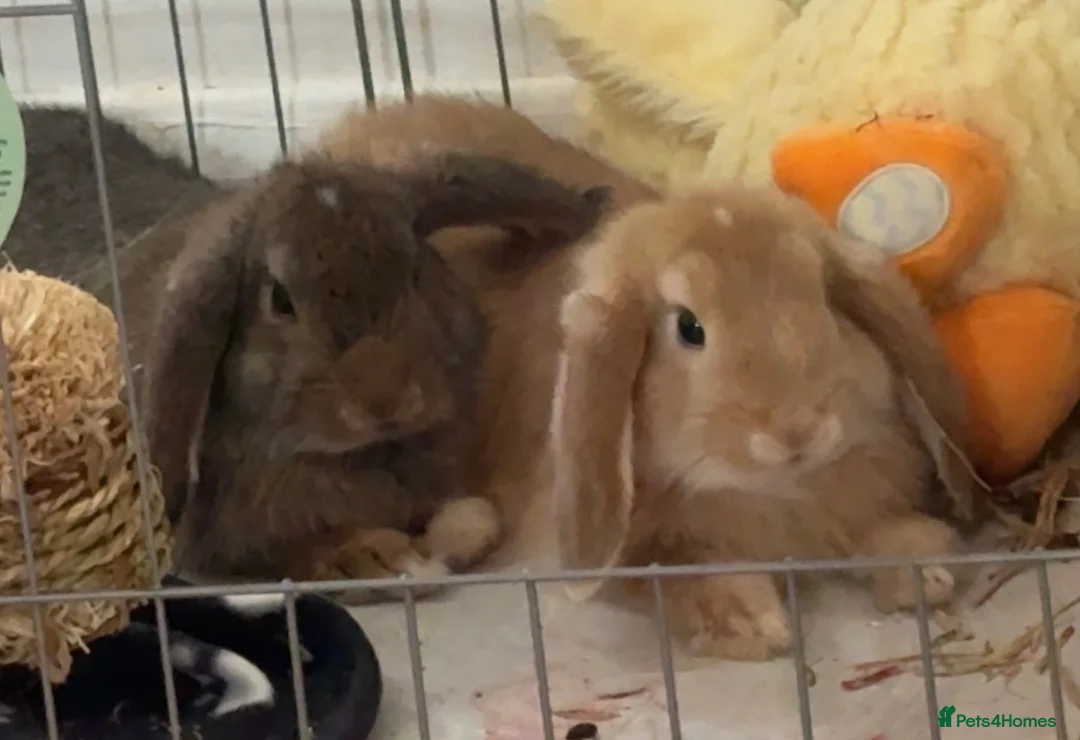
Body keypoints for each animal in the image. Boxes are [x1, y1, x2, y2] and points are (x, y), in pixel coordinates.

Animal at [143, 148, 609, 600]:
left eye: (416, 271)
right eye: (279, 299)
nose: (383, 397)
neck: (366, 454)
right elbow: (296, 552)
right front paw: (381, 560)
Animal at [550, 185, 974, 660]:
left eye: (825, 298)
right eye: (688, 326)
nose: (798, 430)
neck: (777, 492)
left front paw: (926, 564)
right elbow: (672, 569)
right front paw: (752, 622)